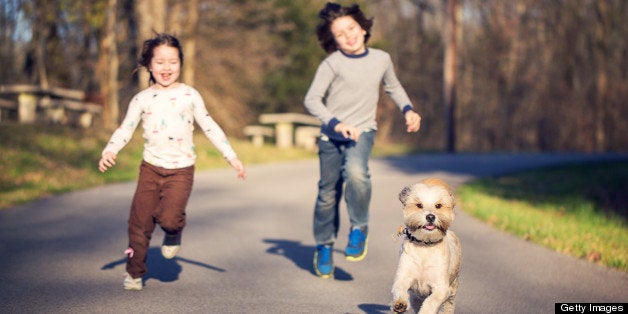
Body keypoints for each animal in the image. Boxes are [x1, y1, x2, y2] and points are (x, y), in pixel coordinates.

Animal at [392, 178, 462, 312]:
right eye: (419, 205)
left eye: (438, 206)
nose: (430, 216)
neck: (425, 245)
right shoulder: (404, 276)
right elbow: (400, 288)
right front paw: (400, 303)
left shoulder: (442, 288)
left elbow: (431, 302)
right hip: (416, 298)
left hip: (453, 289)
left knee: (448, 306)